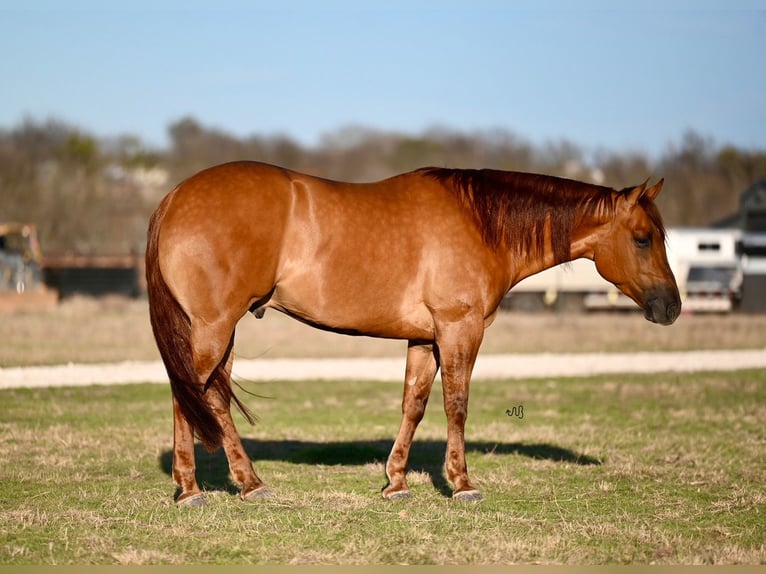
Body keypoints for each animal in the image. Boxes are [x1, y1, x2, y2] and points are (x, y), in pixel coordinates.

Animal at [146, 160, 684, 506]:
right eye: (643, 239)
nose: (672, 307)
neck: (480, 224)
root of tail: (173, 198)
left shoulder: (425, 338)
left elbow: (415, 404)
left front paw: (396, 482)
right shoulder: (459, 328)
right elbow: (456, 404)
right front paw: (463, 484)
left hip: (221, 331)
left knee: (204, 396)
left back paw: (225, 483)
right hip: (214, 328)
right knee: (192, 395)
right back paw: (211, 488)